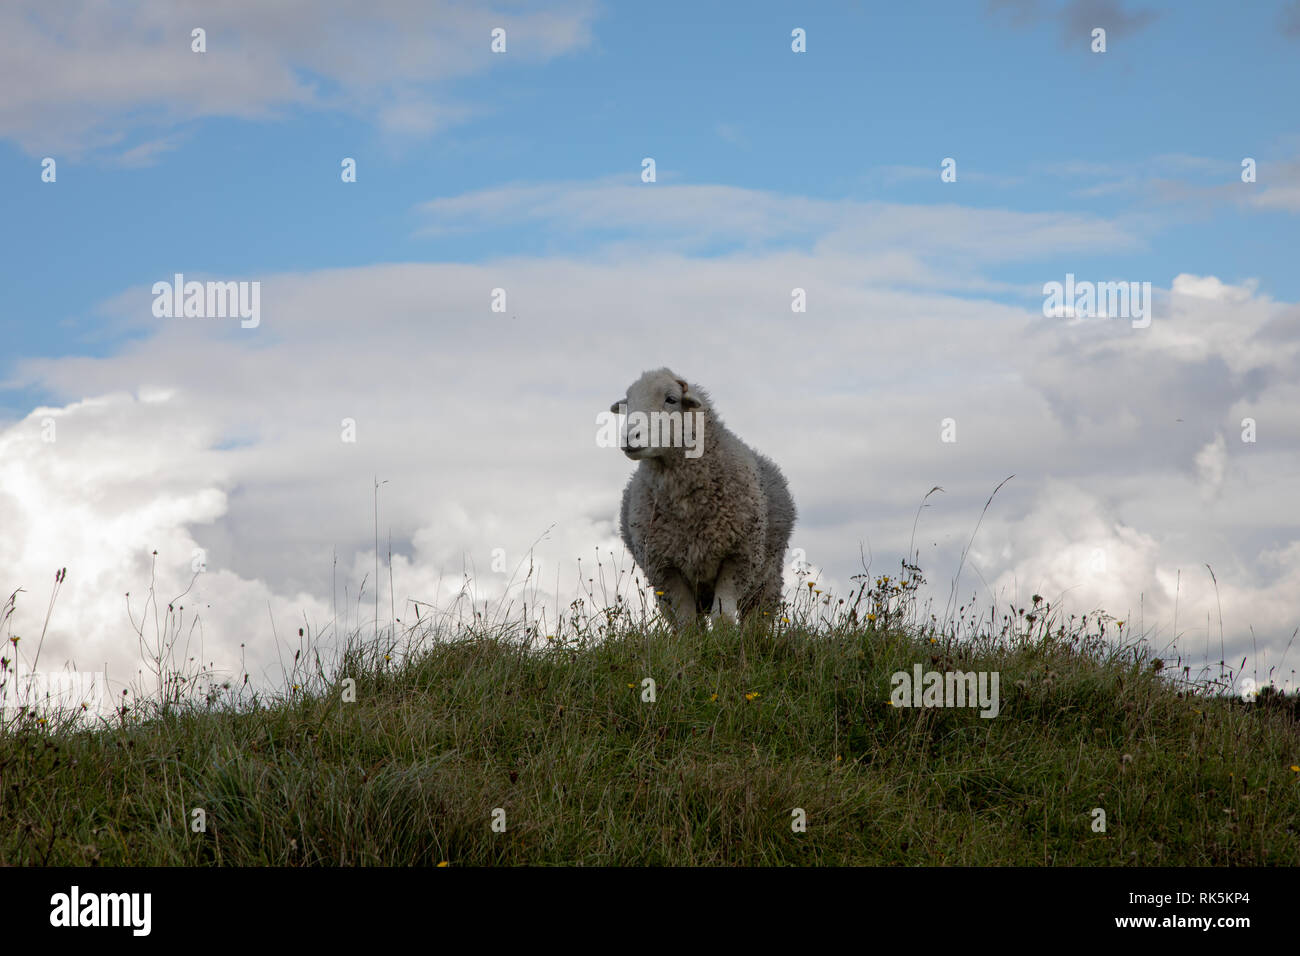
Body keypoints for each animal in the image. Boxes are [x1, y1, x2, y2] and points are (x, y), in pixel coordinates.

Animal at [611, 366, 800, 629]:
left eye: (671, 399)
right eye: (628, 403)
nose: (631, 437)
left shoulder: (738, 558)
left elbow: (723, 618)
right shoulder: (665, 569)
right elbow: (687, 623)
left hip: (766, 579)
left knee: (756, 619)